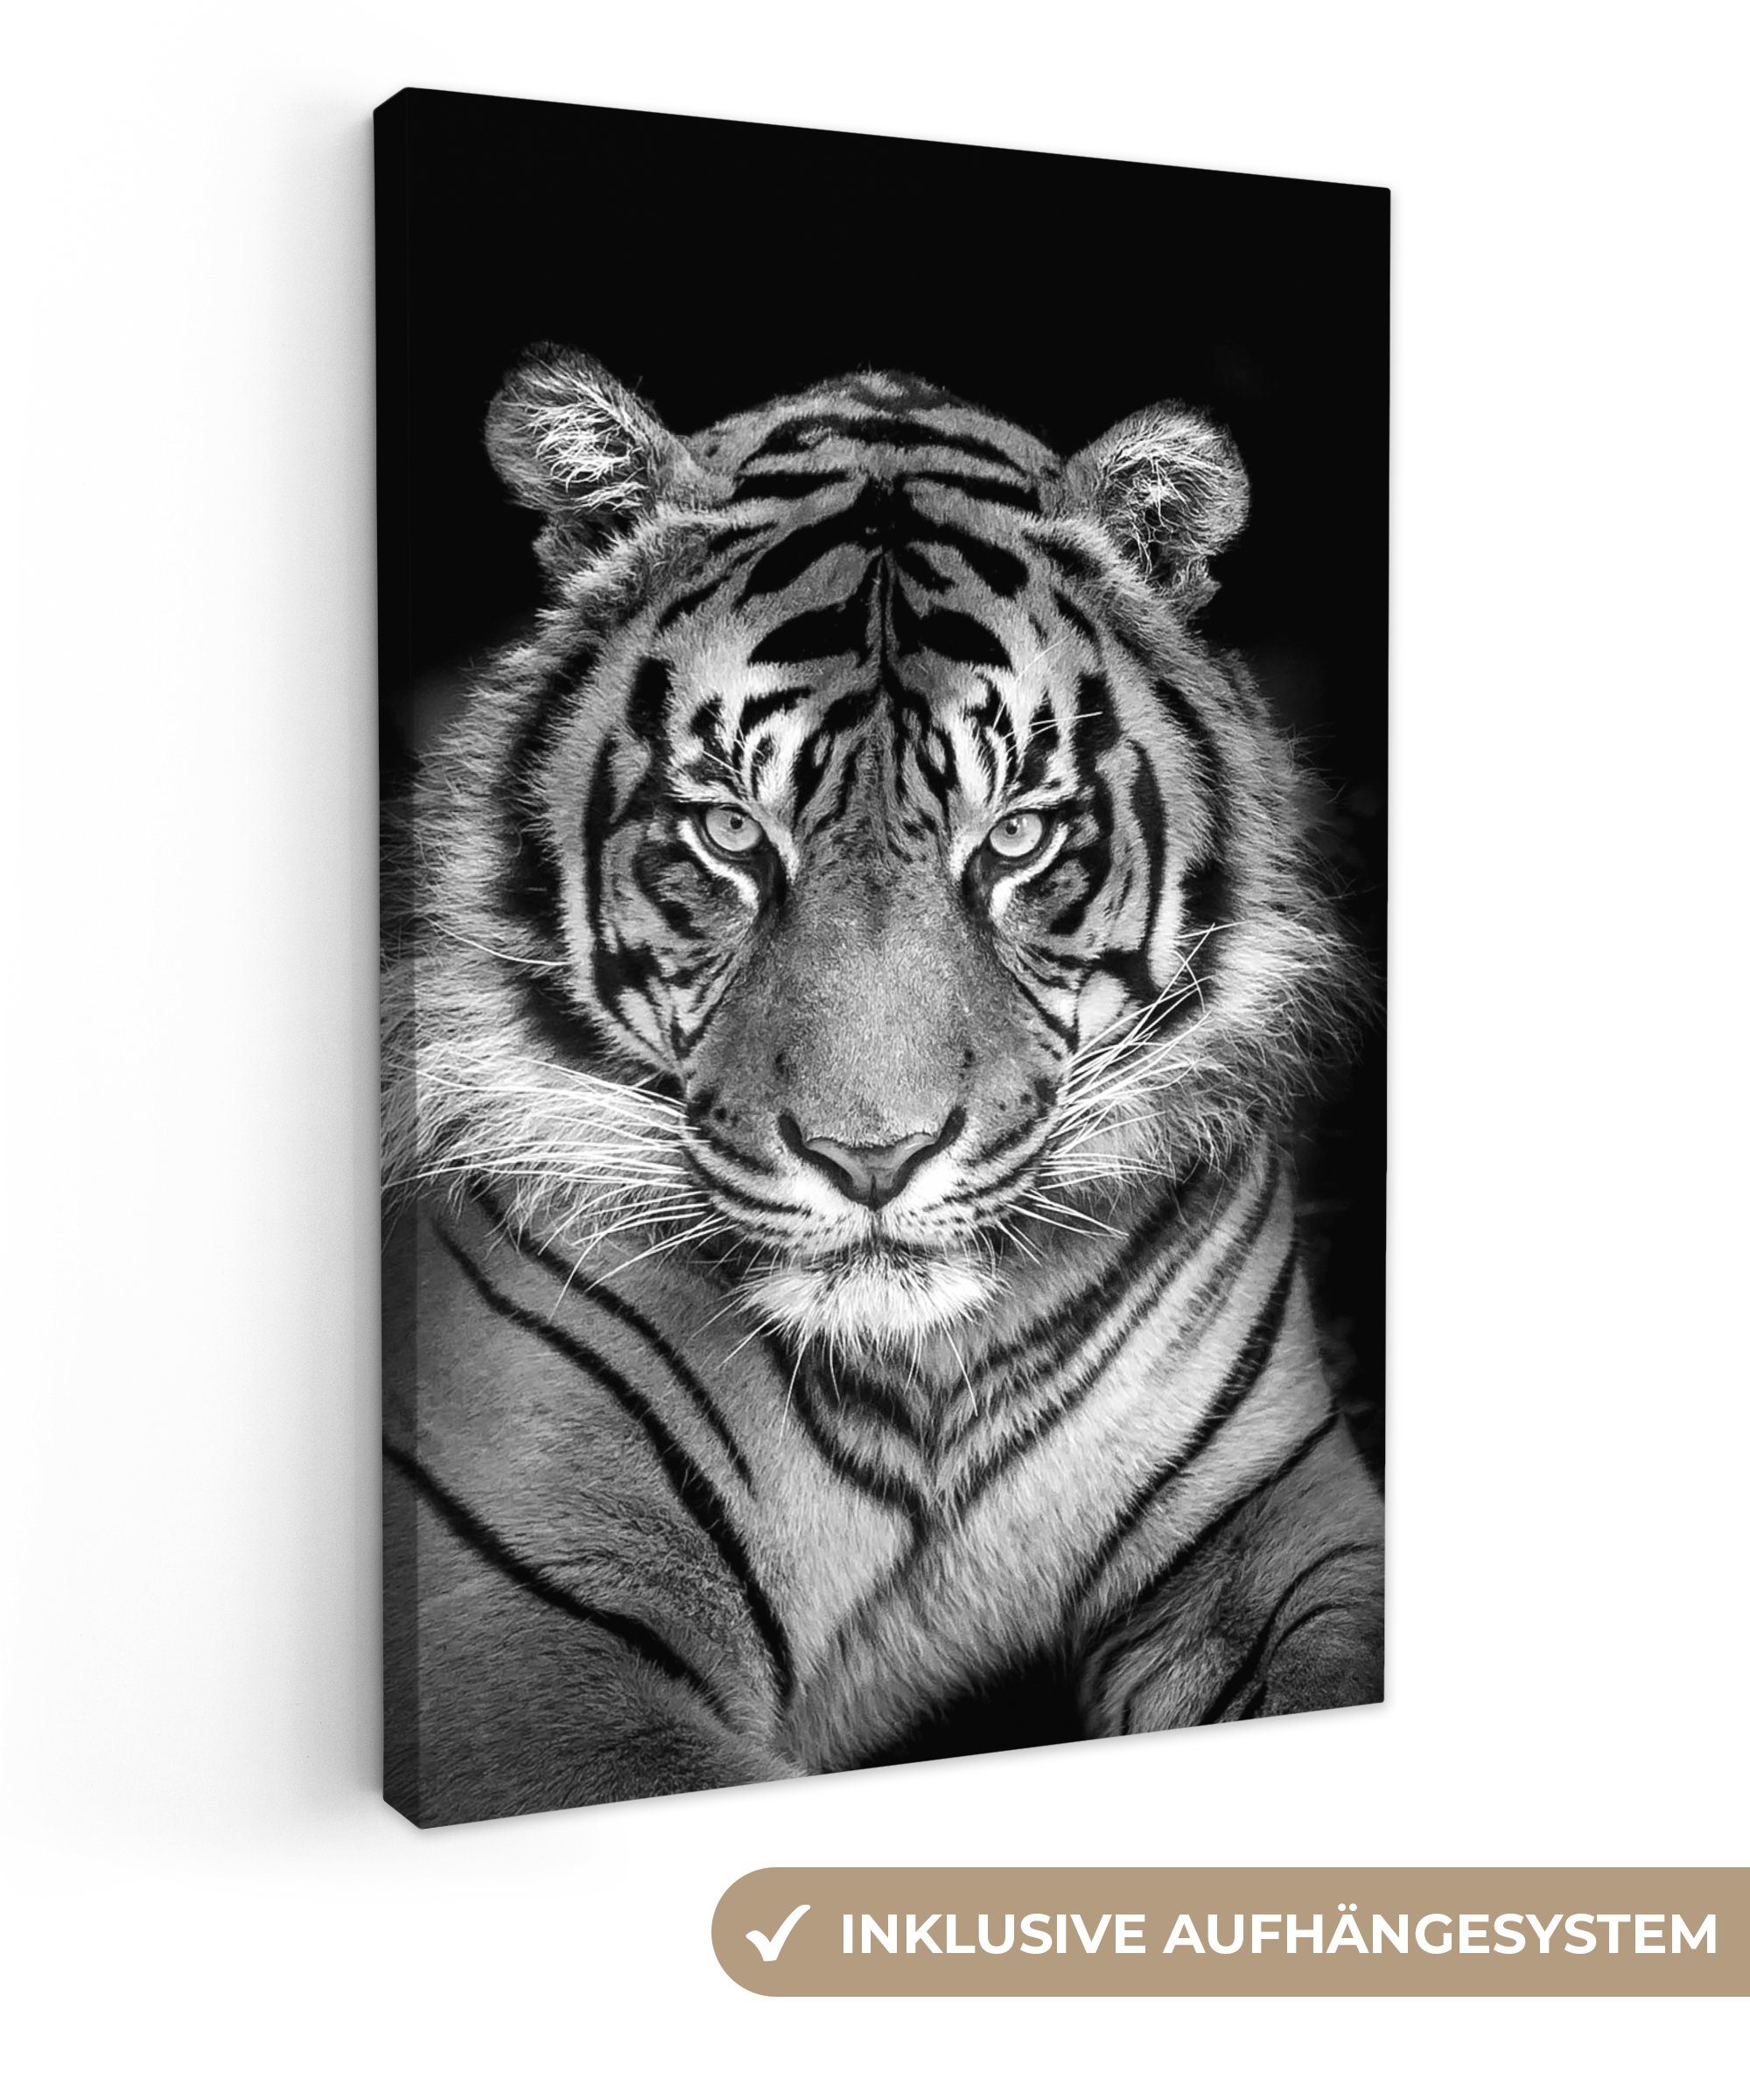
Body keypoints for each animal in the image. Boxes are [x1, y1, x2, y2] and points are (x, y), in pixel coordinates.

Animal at [381, 347, 1384, 1825]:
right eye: (730, 833)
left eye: (1015, 838)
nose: (872, 1159)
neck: (925, 1383)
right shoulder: (523, 1640)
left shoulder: (1283, 1517)